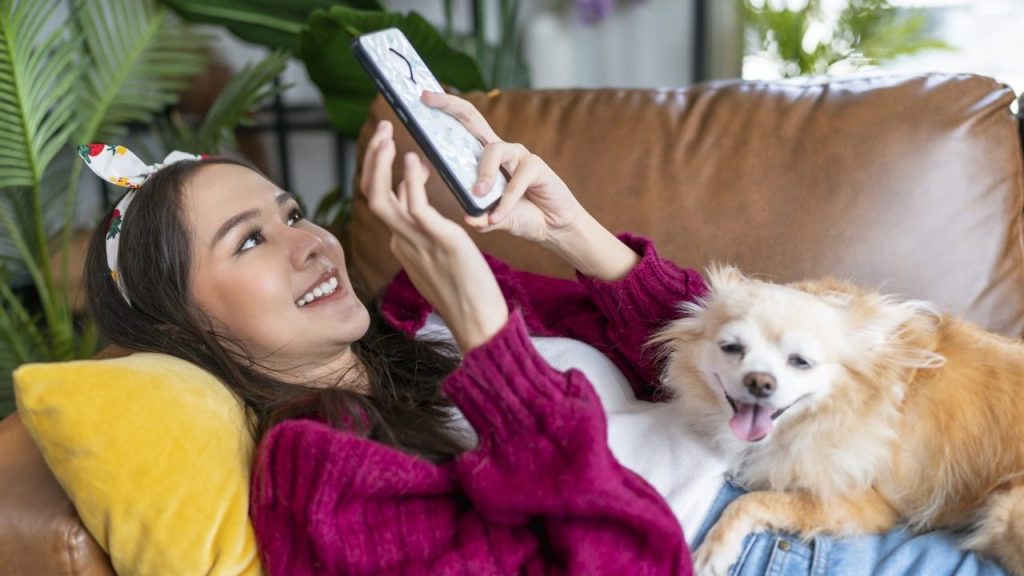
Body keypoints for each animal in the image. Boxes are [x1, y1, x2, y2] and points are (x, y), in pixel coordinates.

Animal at [655, 266, 1024, 573]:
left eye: (801, 362)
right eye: (731, 347)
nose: (760, 382)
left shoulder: (864, 504)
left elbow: (751, 500)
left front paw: (714, 551)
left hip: (1006, 512)